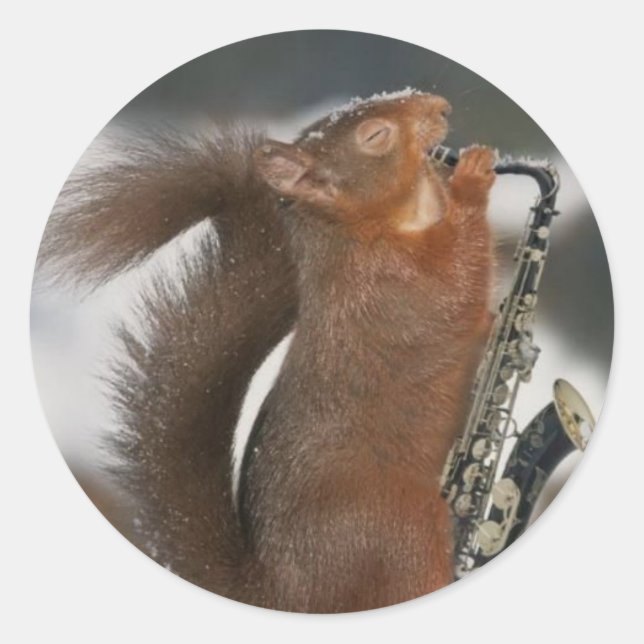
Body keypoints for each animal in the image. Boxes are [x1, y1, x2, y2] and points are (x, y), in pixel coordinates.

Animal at [39, 90, 496, 613]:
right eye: (377, 135)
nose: (440, 107)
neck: (360, 229)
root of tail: (282, 595)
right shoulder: (396, 287)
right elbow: (458, 282)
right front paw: (471, 179)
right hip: (402, 533)